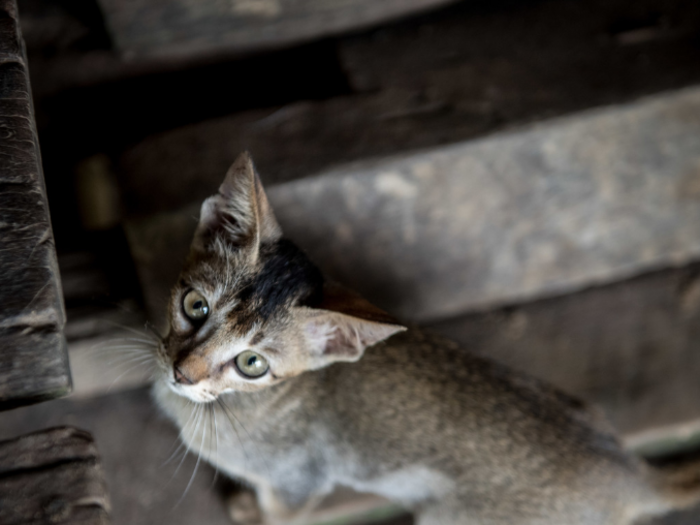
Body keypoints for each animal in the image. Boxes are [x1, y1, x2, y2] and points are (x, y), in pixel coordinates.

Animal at [153, 152, 700, 524]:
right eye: (196, 306)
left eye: (253, 364)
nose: (183, 372)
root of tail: (634, 476)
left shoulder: (298, 484)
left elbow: (278, 514)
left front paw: (250, 511)